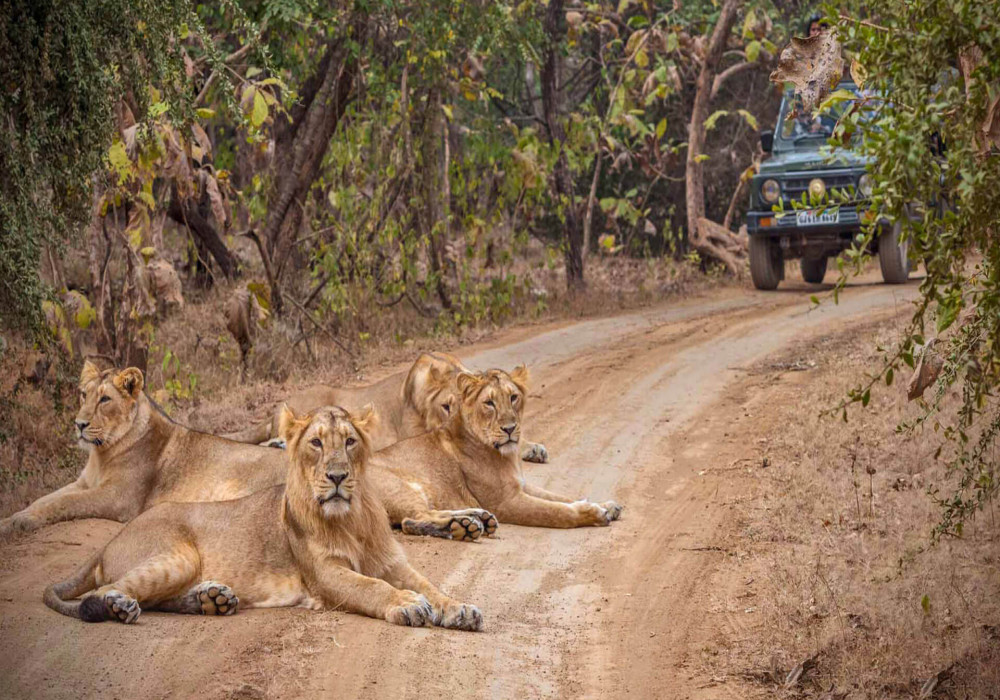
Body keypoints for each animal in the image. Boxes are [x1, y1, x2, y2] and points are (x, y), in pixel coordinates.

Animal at [0, 360, 290, 536]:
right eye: (84, 394)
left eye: (105, 399)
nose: (79, 424)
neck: (101, 453)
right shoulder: (83, 483)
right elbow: (44, 498)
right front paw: (10, 520)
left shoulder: (117, 497)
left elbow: (64, 503)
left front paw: (25, 521)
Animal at [45, 402, 482, 632]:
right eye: (316, 443)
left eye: (350, 442)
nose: (337, 476)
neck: (352, 518)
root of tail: (108, 543)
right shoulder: (326, 575)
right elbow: (371, 587)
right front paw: (406, 603)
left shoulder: (394, 563)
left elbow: (432, 586)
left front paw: (459, 608)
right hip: (176, 556)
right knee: (103, 593)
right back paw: (121, 606)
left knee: (155, 600)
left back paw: (211, 599)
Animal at [368, 366, 616, 540]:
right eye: (489, 403)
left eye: (513, 397)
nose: (510, 429)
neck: (507, 456)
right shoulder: (506, 502)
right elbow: (555, 511)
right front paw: (593, 513)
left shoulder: (521, 485)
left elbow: (561, 497)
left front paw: (606, 505)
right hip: (401, 487)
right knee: (412, 519)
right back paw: (465, 527)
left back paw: (477, 519)